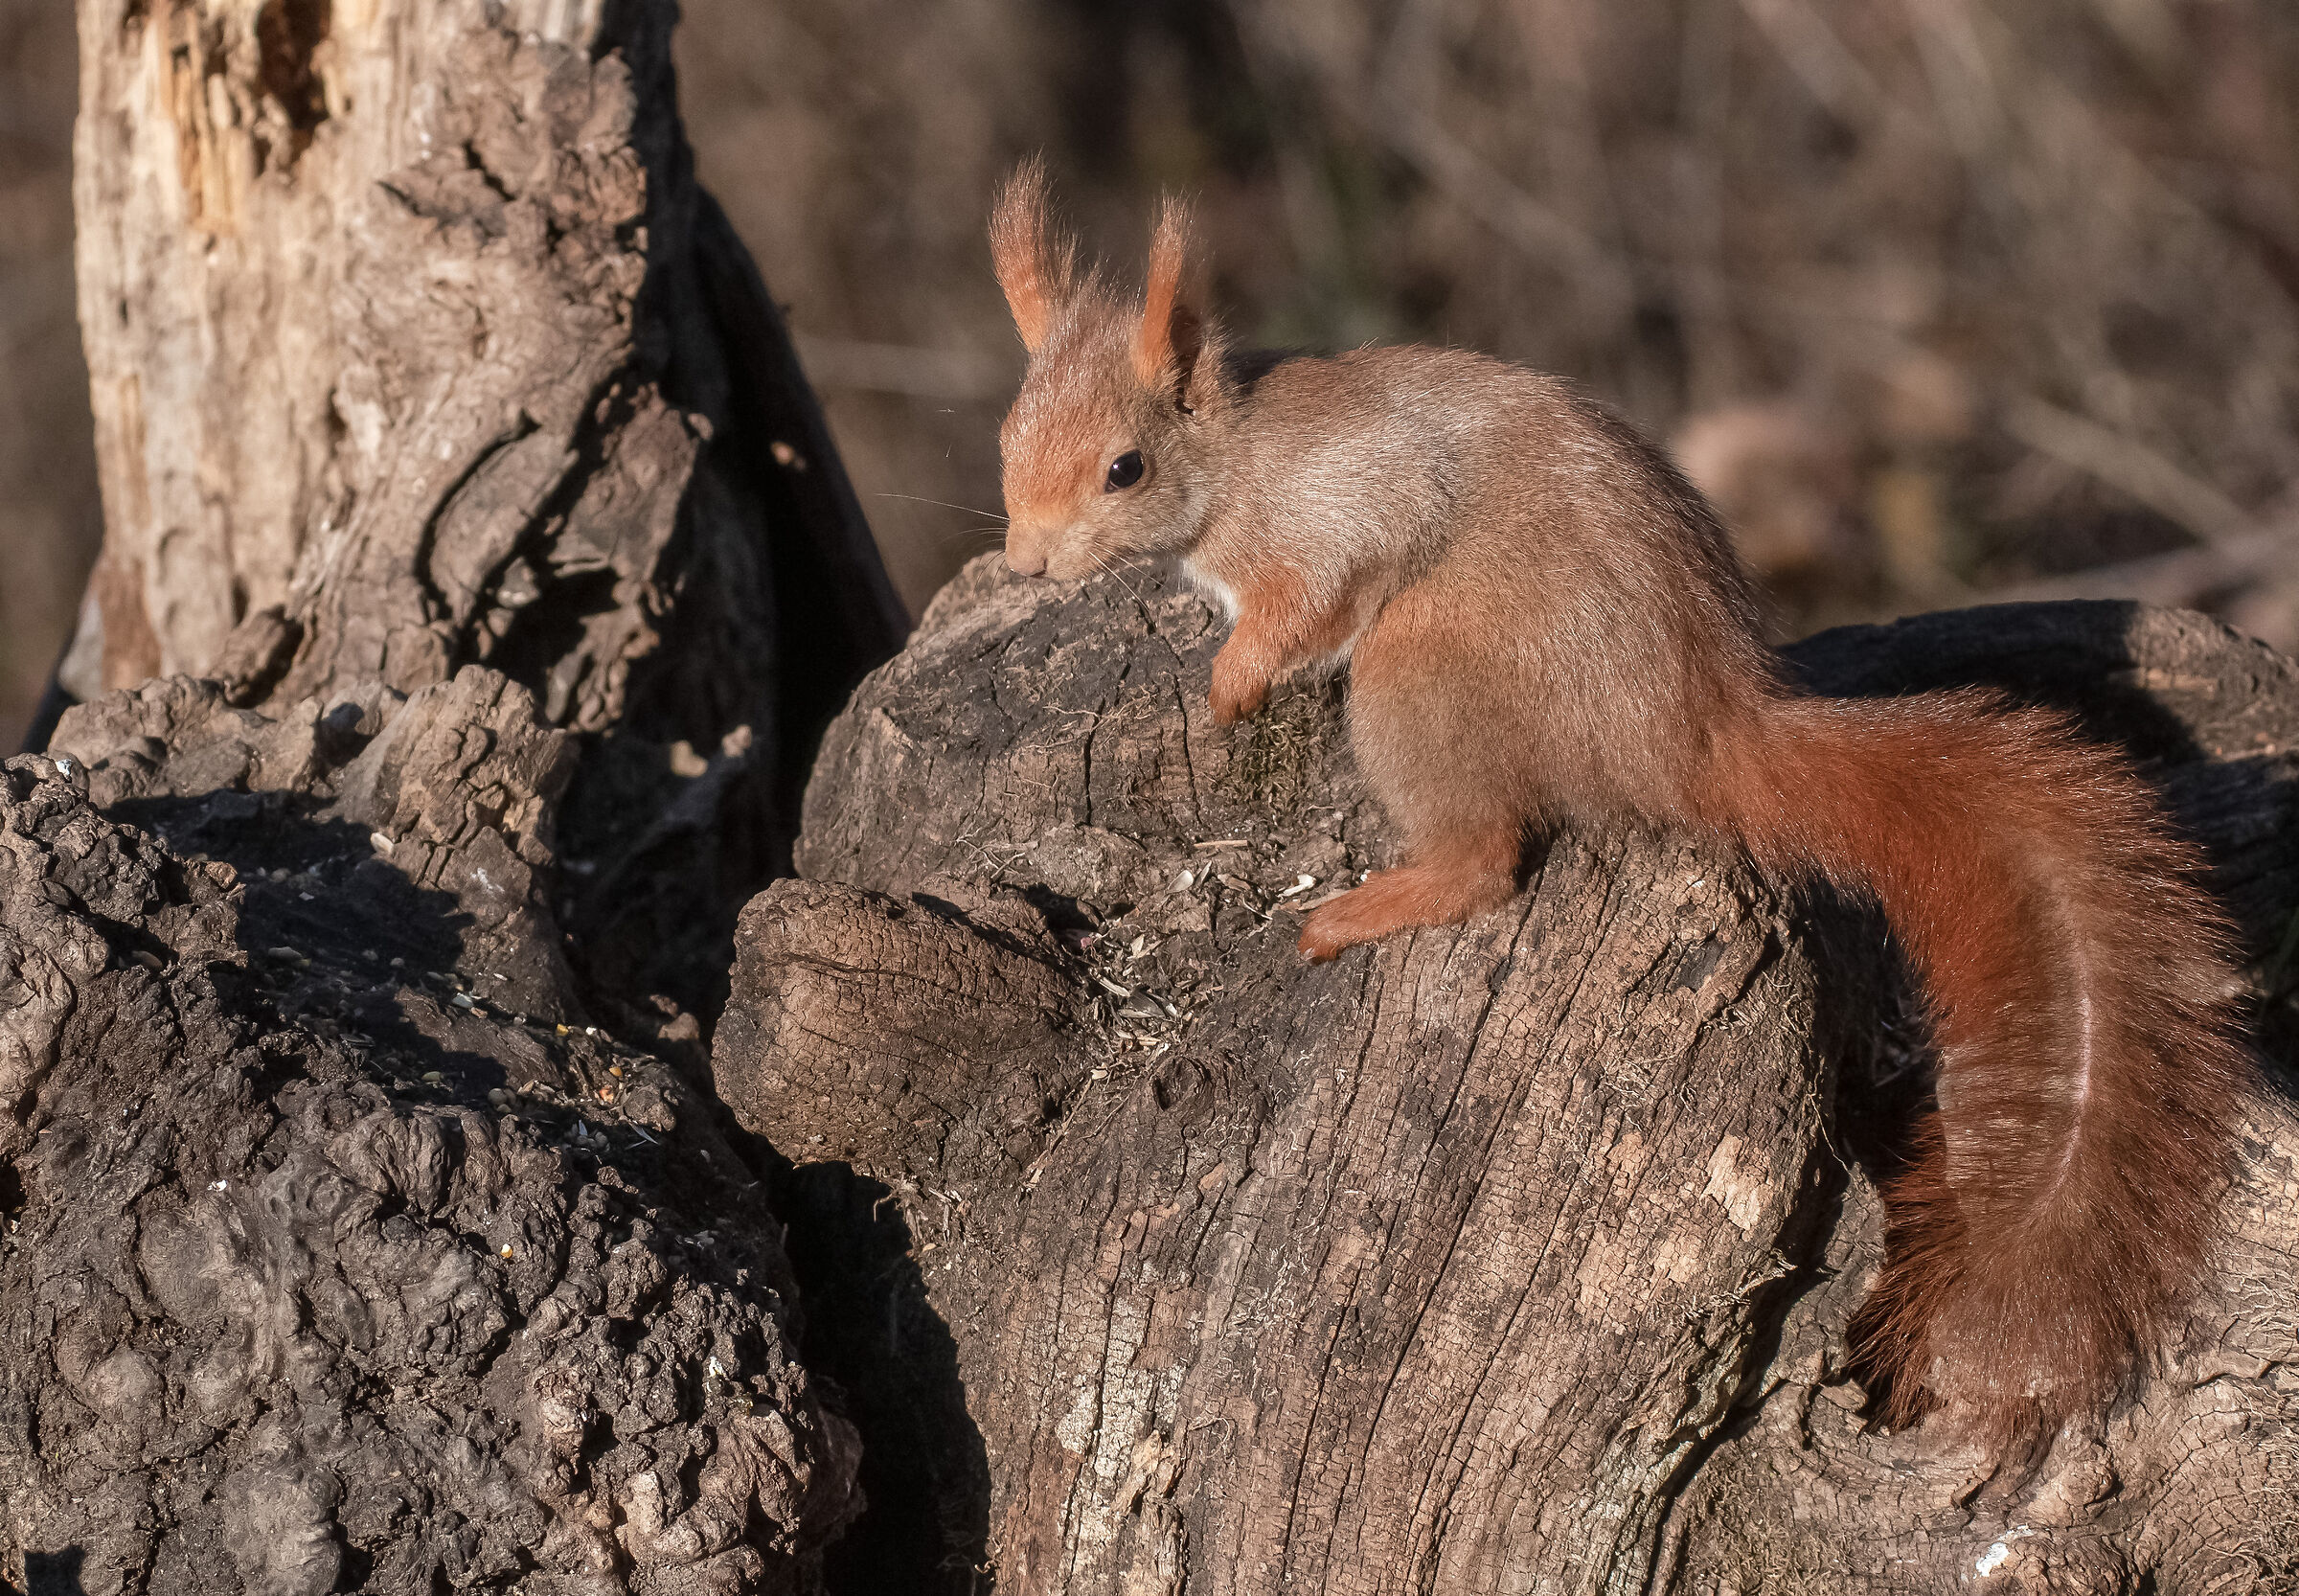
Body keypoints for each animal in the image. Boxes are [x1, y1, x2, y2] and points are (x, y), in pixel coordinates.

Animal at [984, 159, 2252, 1448]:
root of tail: (1692, 735)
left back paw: (1362, 906)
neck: (1239, 463)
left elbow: (1308, 596)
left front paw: (1233, 682)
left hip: (1419, 673)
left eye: (1125, 469)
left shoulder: (1343, 513)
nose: (1026, 567)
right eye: (1005, 438)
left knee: (1485, 858)